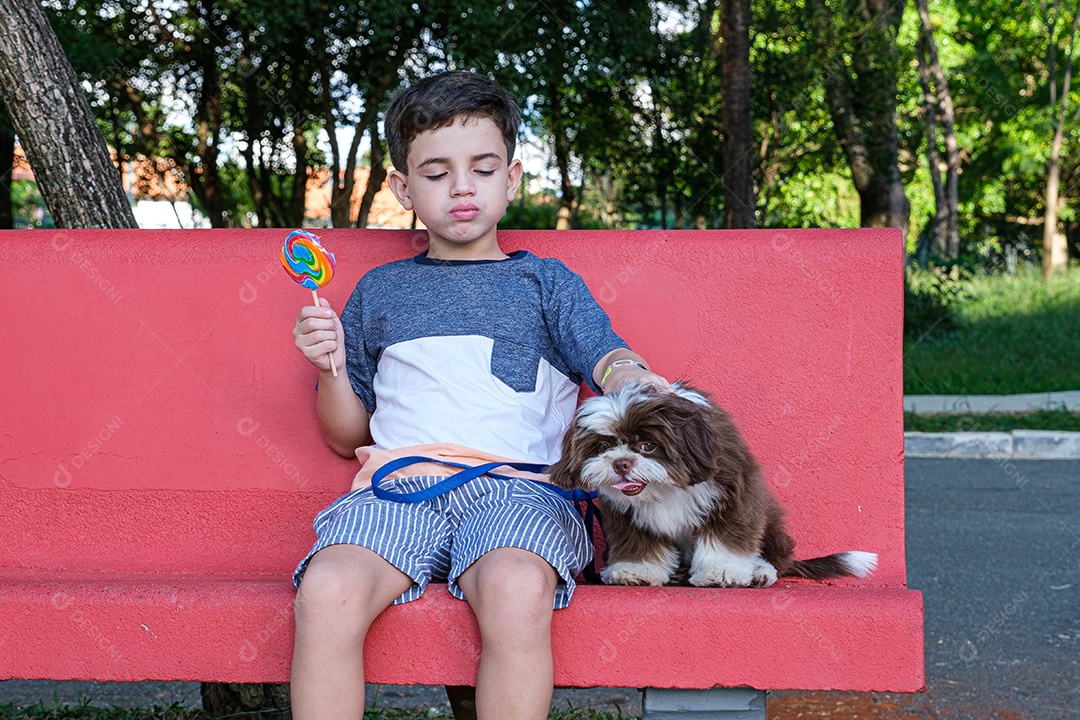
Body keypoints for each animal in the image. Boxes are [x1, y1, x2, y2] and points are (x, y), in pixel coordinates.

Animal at [548, 382, 876, 587]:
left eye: (648, 446)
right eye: (603, 445)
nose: (621, 463)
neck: (666, 488)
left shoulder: (732, 491)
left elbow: (725, 538)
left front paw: (722, 572)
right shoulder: (625, 513)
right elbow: (638, 541)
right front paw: (634, 570)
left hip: (770, 521)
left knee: (775, 558)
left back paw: (760, 571)